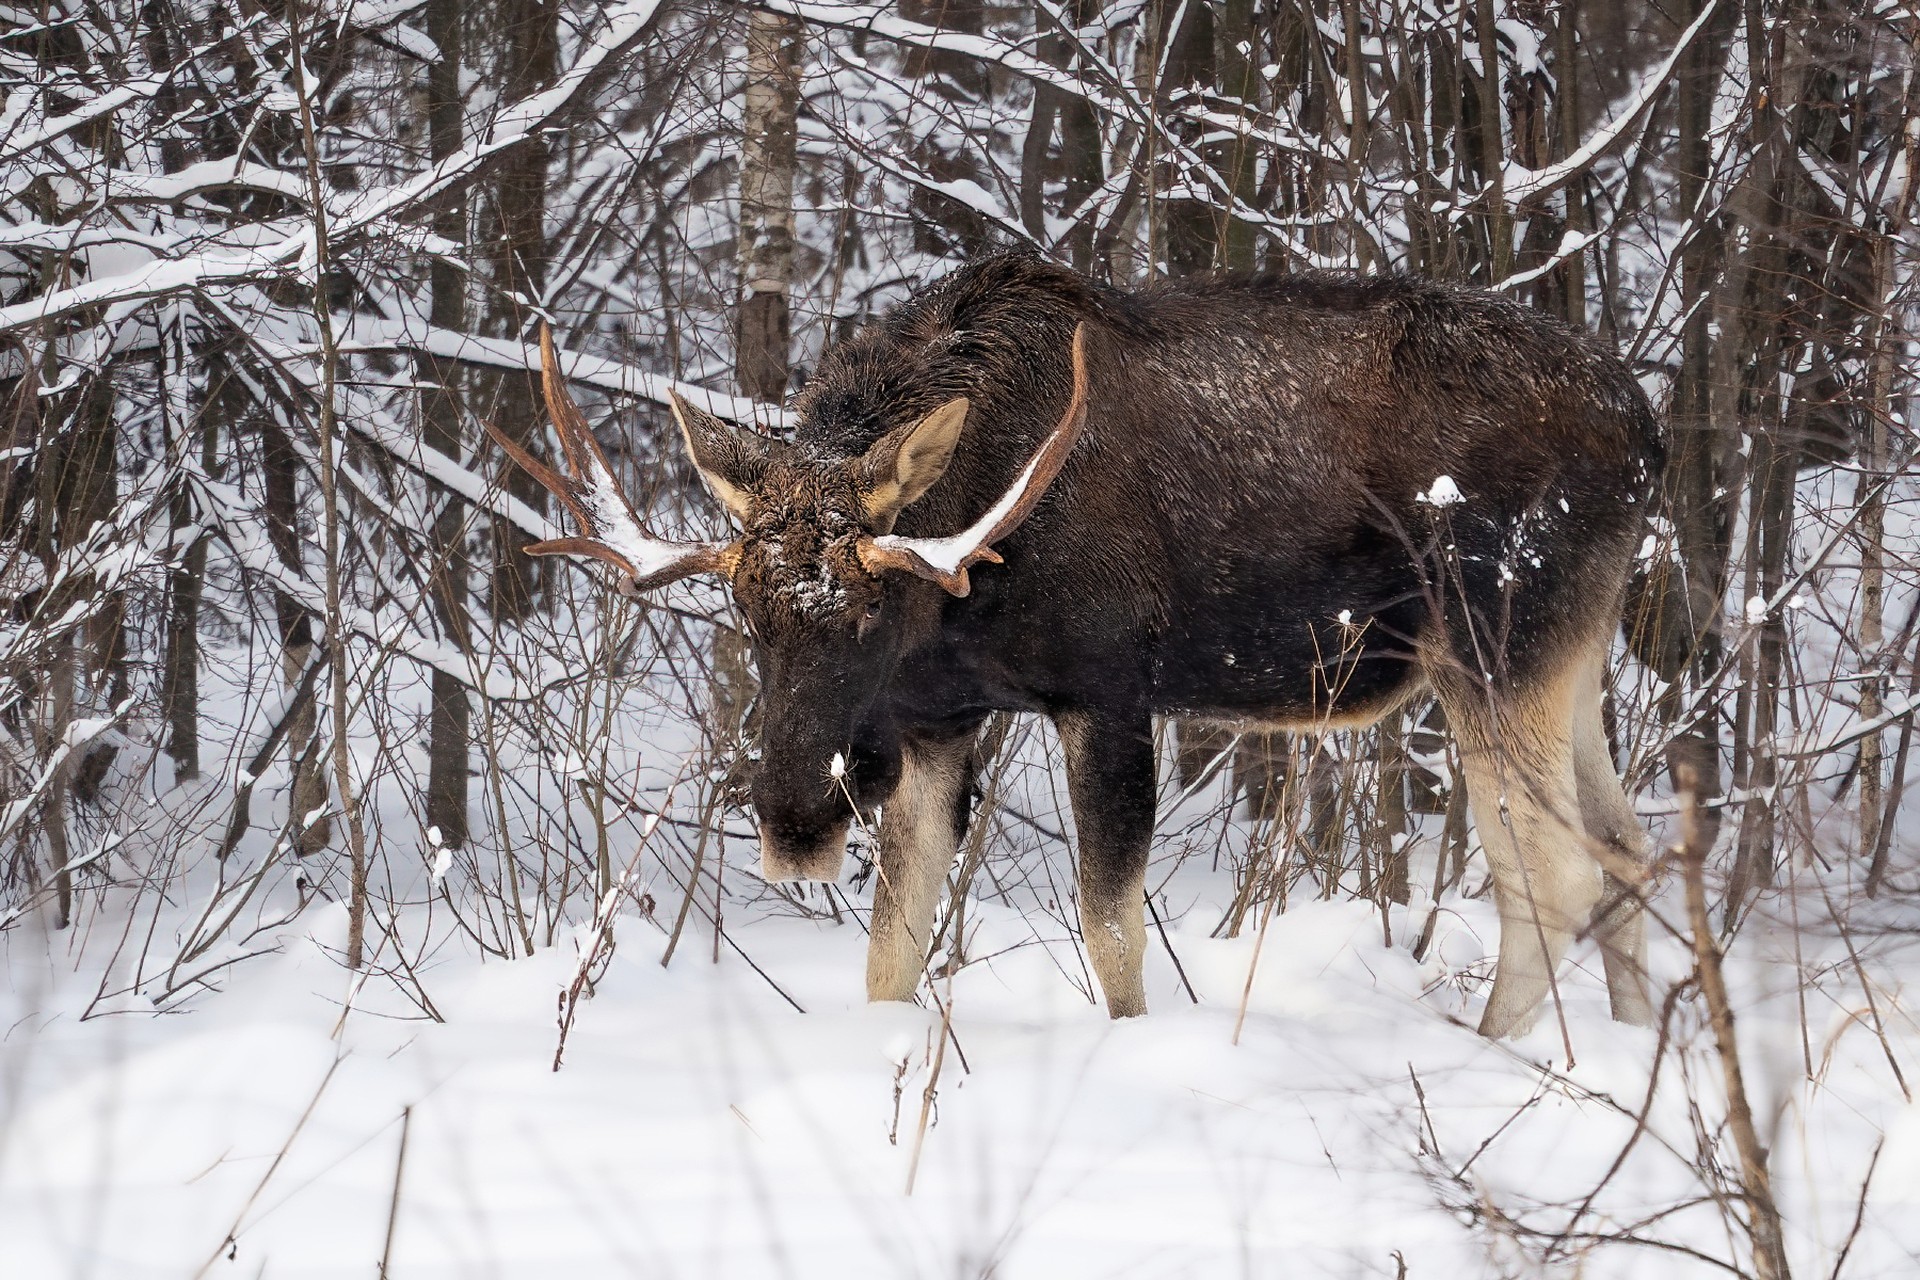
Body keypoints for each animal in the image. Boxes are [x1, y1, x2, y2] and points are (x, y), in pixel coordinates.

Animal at [499, 253, 1666, 1043]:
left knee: (1554, 870)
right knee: (1626, 848)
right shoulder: (937, 722)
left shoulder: (1106, 692)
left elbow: (1111, 936)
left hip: (1493, 641)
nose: (793, 821)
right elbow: (890, 948)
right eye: (747, 608)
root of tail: (1650, 435)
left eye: (871, 610)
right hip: (1574, 655)